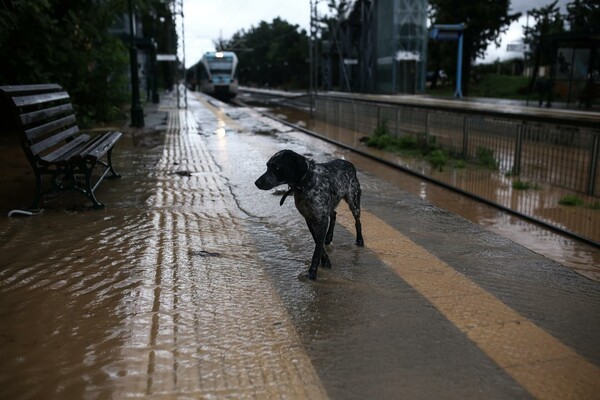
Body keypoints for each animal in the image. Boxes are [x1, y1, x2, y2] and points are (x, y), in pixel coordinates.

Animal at [254, 150, 364, 282]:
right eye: (267, 166)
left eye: (276, 167)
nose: (256, 183)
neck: (306, 183)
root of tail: (348, 163)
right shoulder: (309, 218)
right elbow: (318, 242)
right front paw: (325, 261)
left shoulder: (321, 219)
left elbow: (317, 249)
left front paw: (312, 272)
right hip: (332, 204)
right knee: (334, 214)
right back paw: (329, 237)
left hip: (353, 201)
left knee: (357, 221)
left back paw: (359, 240)